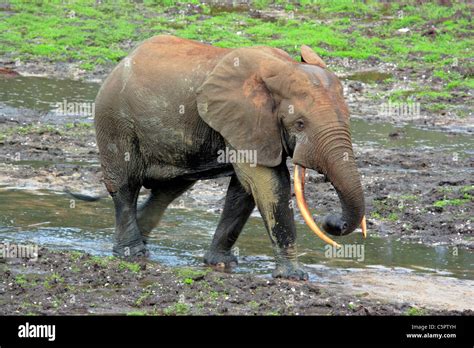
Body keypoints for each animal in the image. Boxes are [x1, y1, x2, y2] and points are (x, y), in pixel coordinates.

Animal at [92, 35, 366, 280]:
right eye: (299, 124)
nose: (330, 221)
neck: (282, 67)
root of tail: (121, 62)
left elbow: (245, 191)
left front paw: (220, 263)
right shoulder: (246, 120)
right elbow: (268, 184)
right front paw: (294, 276)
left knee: (169, 190)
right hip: (115, 120)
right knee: (126, 185)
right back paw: (132, 253)